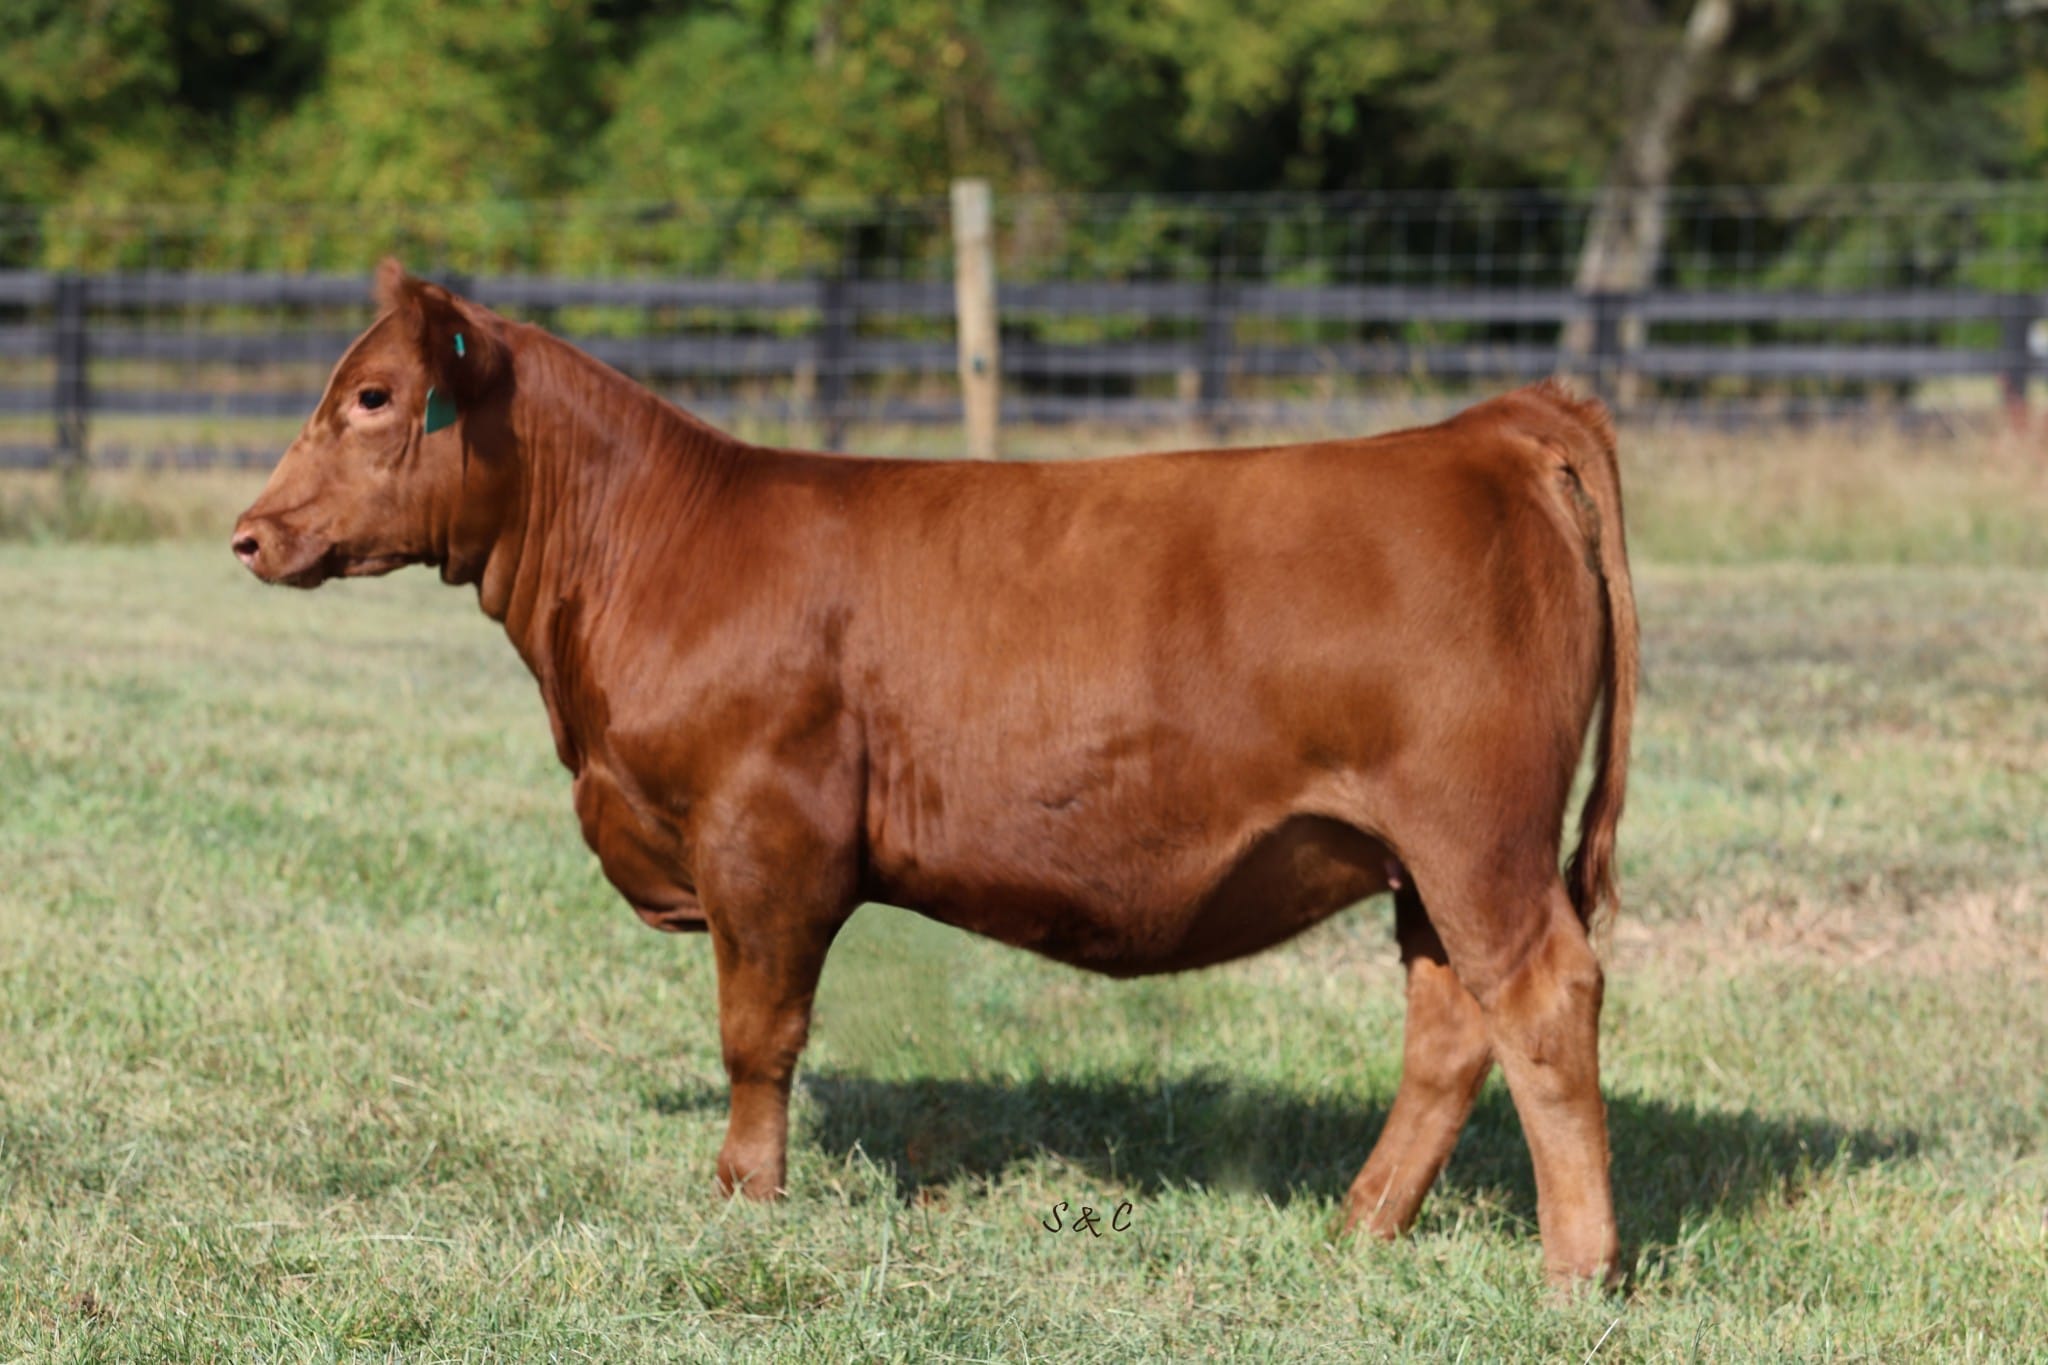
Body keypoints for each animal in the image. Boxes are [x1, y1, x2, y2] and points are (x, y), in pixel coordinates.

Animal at [232, 262, 1639, 1286]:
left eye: (373, 397)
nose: (248, 532)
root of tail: (1485, 429)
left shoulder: (765, 833)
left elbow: (758, 1035)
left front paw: (744, 1198)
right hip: (1421, 858)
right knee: (1449, 1024)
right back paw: (1360, 1227)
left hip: (1476, 835)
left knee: (1542, 999)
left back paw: (1575, 1271)